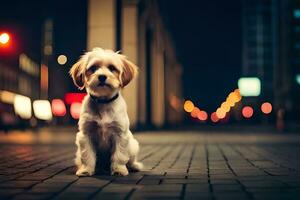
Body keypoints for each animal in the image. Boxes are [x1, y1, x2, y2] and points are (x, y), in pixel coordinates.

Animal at [71, 47, 144, 176]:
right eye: (93, 68)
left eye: (112, 68)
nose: (102, 76)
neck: (103, 102)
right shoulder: (85, 135)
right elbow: (87, 155)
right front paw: (86, 170)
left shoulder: (120, 135)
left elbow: (119, 156)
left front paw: (119, 170)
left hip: (133, 145)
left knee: (130, 160)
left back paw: (134, 166)